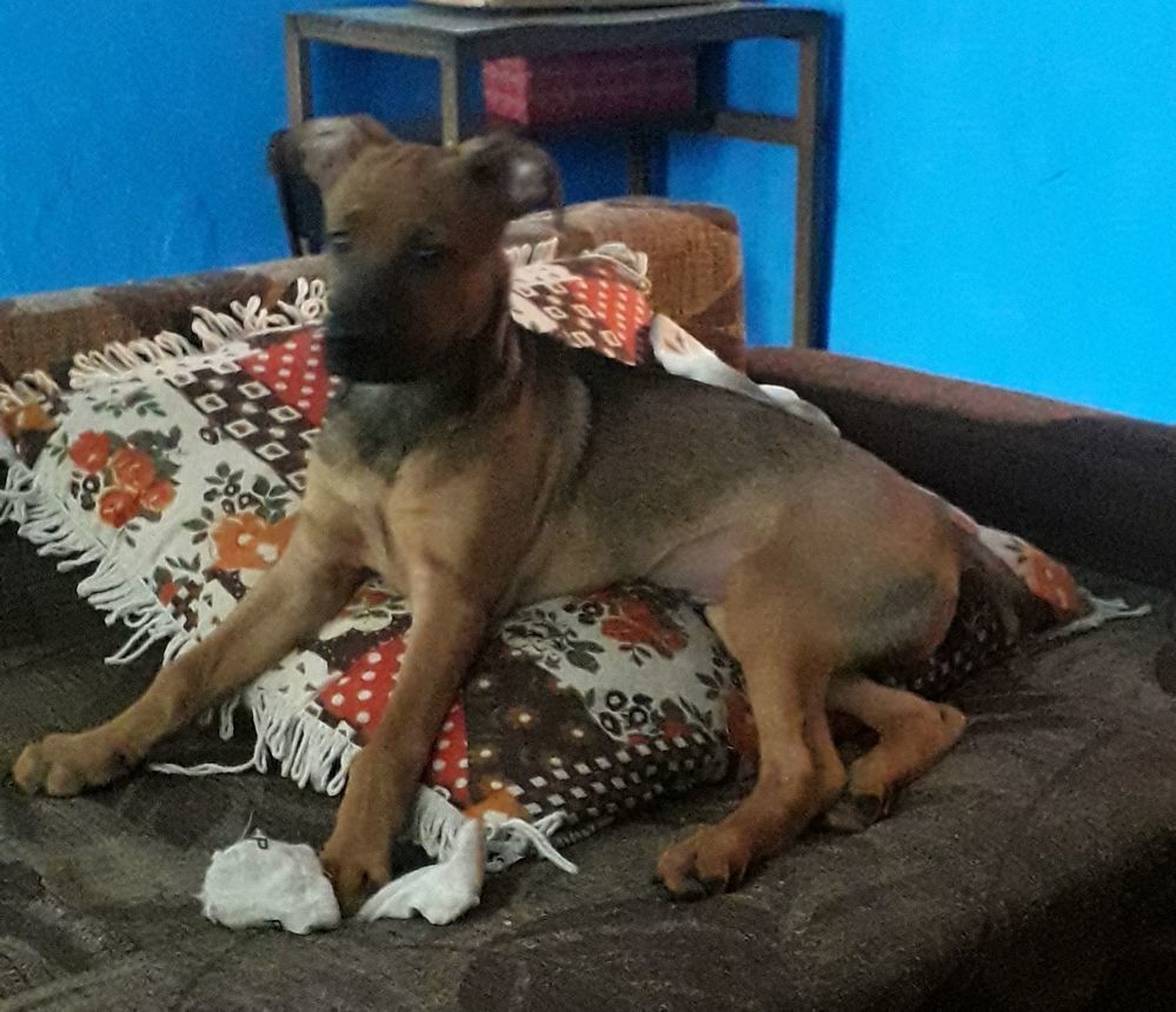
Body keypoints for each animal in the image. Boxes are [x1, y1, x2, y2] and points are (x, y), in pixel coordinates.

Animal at [13, 117, 1031, 911]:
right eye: (336, 240)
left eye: (431, 253)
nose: (342, 347)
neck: (400, 429)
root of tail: (944, 527)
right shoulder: (311, 567)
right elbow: (189, 670)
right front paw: (90, 749)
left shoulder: (452, 601)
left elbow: (393, 735)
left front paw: (351, 855)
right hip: (779, 626)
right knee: (928, 716)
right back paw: (873, 782)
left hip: (775, 610)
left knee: (803, 767)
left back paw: (717, 849)